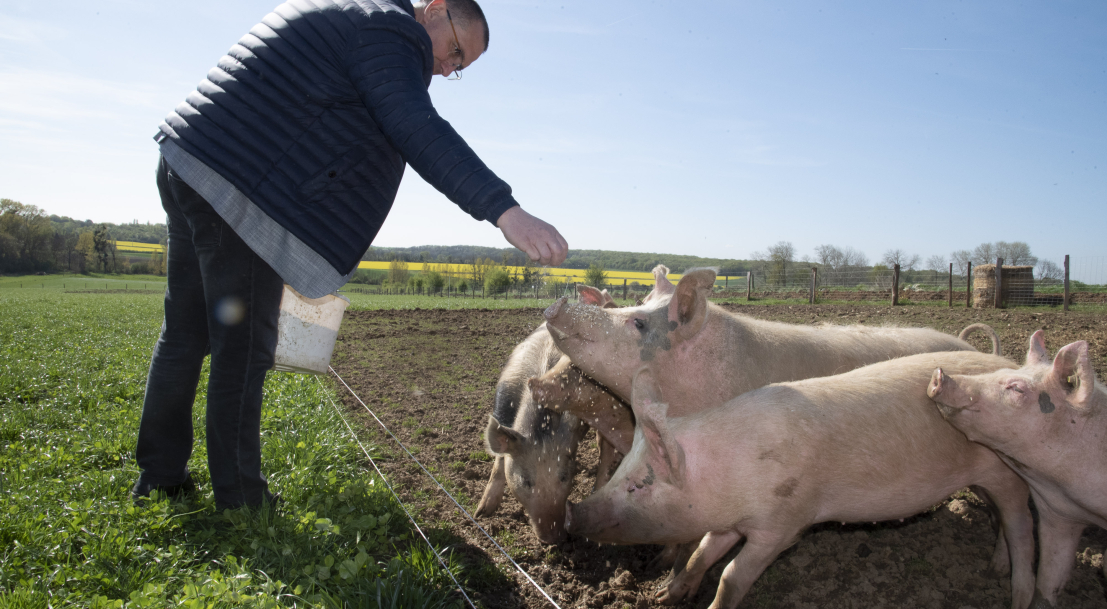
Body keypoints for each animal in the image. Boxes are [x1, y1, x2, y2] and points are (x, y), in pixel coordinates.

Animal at [571, 354, 1036, 609]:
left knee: (1020, 524)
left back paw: (1015, 591)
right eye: (621, 473)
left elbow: (731, 576)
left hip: (1007, 471)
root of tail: (1014, 365)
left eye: (639, 486)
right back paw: (995, 567)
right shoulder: (731, 519)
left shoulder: (783, 523)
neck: (729, 475)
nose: (574, 512)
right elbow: (702, 553)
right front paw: (663, 597)